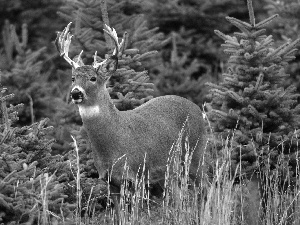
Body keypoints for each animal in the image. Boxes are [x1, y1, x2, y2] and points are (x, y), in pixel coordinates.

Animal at [55, 21, 207, 207]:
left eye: (93, 78)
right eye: (73, 78)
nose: (76, 93)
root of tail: (197, 109)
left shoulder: (138, 173)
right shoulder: (109, 180)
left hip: (196, 152)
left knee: (207, 185)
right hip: (169, 169)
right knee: (178, 195)